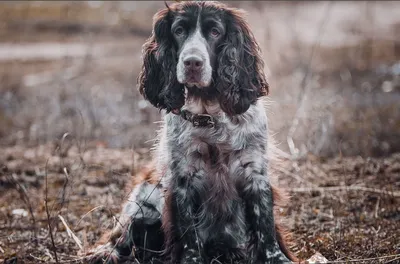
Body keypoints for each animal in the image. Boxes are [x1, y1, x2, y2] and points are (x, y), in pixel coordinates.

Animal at [86, 1, 296, 262]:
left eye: (215, 32)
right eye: (179, 31)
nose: (192, 63)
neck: (211, 118)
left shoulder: (255, 172)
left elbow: (265, 225)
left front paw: (277, 257)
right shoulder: (183, 178)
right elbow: (188, 231)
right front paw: (191, 258)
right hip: (142, 199)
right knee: (121, 235)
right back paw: (105, 252)